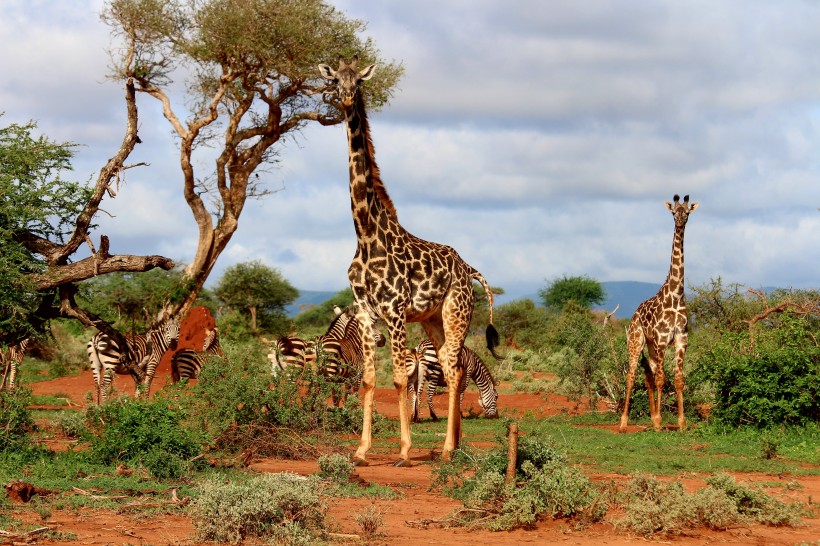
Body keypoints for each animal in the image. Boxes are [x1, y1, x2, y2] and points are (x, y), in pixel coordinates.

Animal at [318, 54, 500, 464]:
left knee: (453, 369)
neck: (366, 234)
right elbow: (369, 379)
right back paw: (454, 444)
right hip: (432, 319)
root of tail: (469, 269)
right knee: (453, 366)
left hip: (455, 312)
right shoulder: (366, 311)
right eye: (335, 80)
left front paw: (403, 449)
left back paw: (447, 448)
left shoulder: (396, 310)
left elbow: (400, 377)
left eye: (359, 80)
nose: (346, 98)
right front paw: (362, 450)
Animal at [620, 193, 700, 432]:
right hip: (636, 341)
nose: (680, 222)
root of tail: (635, 313)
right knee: (632, 376)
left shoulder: (681, 340)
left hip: (651, 346)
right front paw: (659, 422)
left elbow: (678, 379)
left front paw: (681, 423)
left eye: (687, 212)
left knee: (648, 374)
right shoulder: (663, 340)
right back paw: (624, 422)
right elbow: (661, 379)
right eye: (674, 212)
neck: (675, 295)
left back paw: (653, 417)